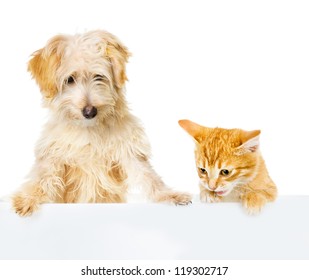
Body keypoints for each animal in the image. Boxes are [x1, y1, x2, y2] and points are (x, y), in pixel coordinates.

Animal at [12, 29, 190, 215]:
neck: (89, 131)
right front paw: (27, 198)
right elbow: (42, 177)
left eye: (98, 76)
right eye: (70, 79)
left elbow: (149, 177)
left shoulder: (129, 151)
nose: (90, 111)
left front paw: (170, 196)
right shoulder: (53, 155)